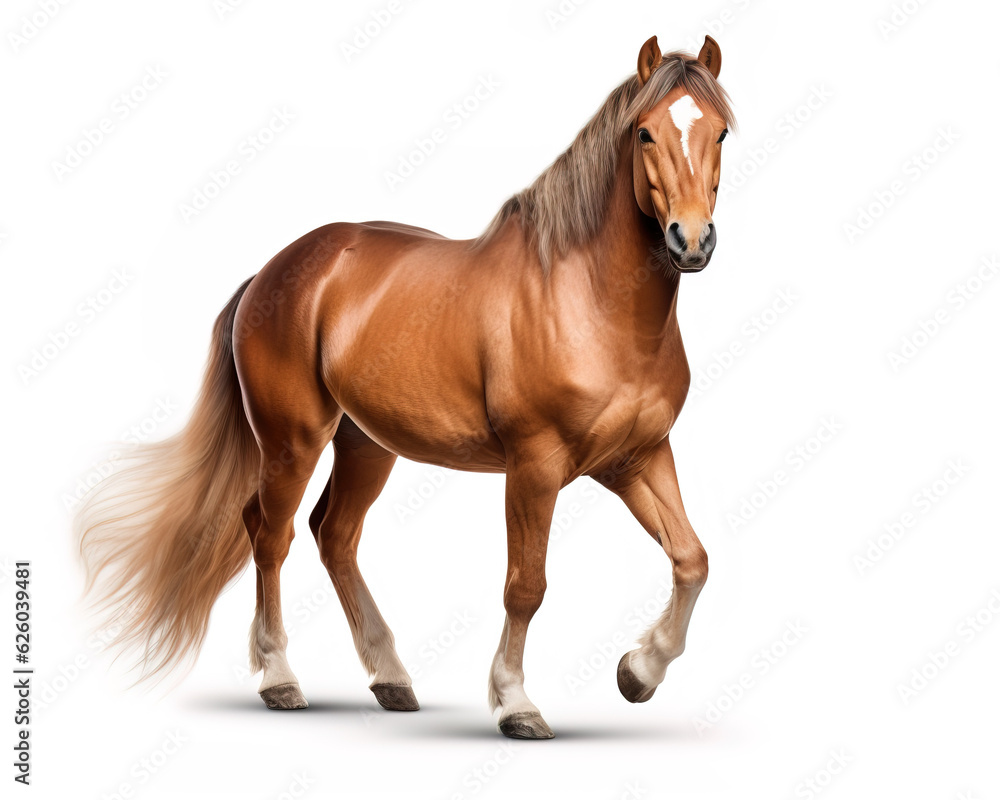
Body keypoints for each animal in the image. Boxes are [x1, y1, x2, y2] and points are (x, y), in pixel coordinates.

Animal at [76, 34, 736, 739]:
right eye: (644, 132)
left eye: (721, 131)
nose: (691, 240)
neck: (588, 301)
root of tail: (273, 271)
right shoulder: (535, 465)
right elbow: (525, 584)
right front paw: (515, 703)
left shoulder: (634, 458)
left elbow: (692, 560)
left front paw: (638, 672)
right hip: (292, 441)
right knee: (270, 534)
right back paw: (280, 679)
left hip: (366, 444)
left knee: (334, 535)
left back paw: (390, 677)